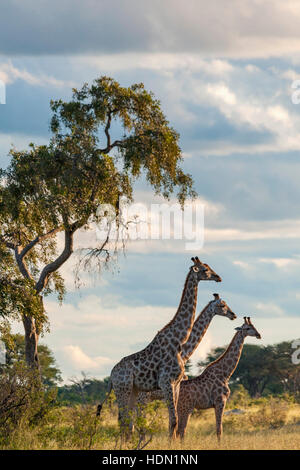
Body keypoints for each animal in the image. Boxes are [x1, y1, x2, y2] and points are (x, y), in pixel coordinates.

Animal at [97, 255, 221, 438]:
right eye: (205, 270)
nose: (218, 277)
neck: (179, 341)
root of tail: (111, 376)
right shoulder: (166, 382)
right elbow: (174, 421)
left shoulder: (176, 384)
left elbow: (173, 422)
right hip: (124, 390)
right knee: (124, 422)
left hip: (133, 391)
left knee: (127, 423)